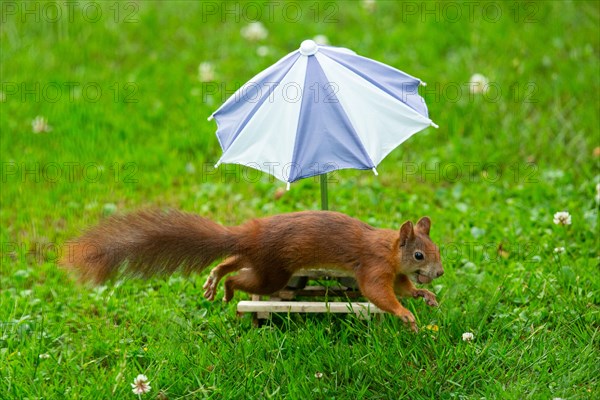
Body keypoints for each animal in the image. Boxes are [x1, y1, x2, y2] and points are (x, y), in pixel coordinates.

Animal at [61, 211, 442, 330]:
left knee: (232, 261)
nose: (438, 273)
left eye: (438, 250)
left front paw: (425, 295)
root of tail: (251, 234)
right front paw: (405, 315)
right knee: (242, 279)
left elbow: (403, 288)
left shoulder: (394, 273)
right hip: (273, 271)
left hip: (260, 261)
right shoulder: (373, 267)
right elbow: (378, 293)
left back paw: (214, 279)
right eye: (419, 254)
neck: (389, 249)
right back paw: (227, 289)